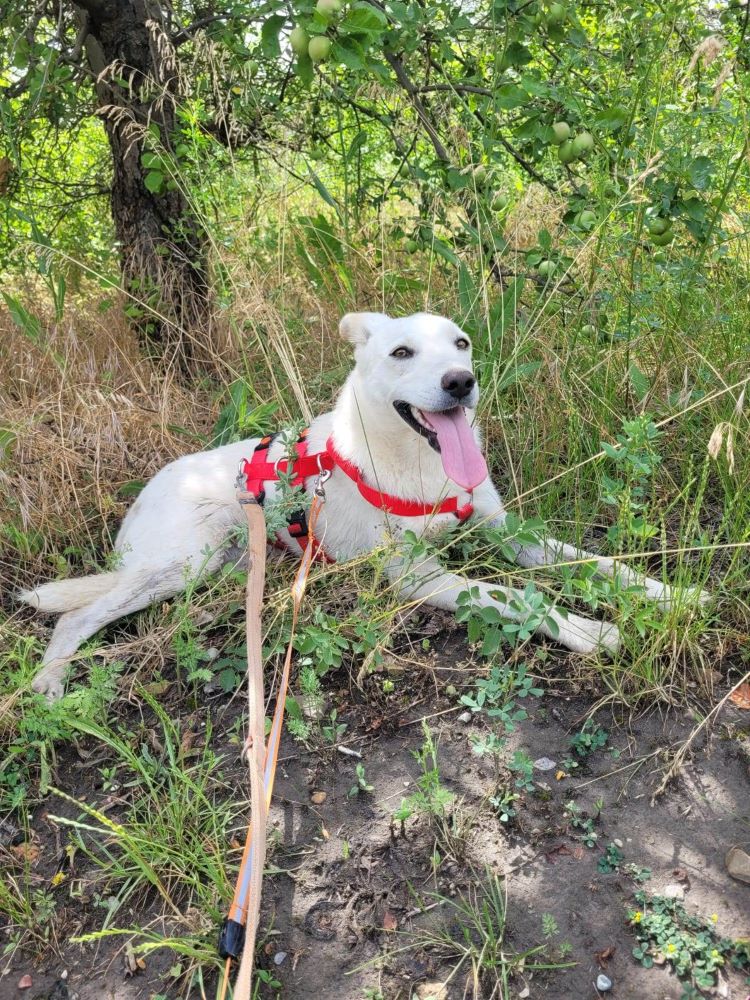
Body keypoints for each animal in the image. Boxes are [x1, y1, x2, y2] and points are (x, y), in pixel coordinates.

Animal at [22, 310, 704, 696]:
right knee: (74, 617)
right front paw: (594, 631)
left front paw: (673, 594)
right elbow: (509, 596)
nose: (461, 382)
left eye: (461, 344)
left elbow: (594, 563)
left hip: (220, 566)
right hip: (184, 561)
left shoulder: (504, 528)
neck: (422, 468)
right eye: (401, 353)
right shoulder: (414, 575)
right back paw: (50, 686)